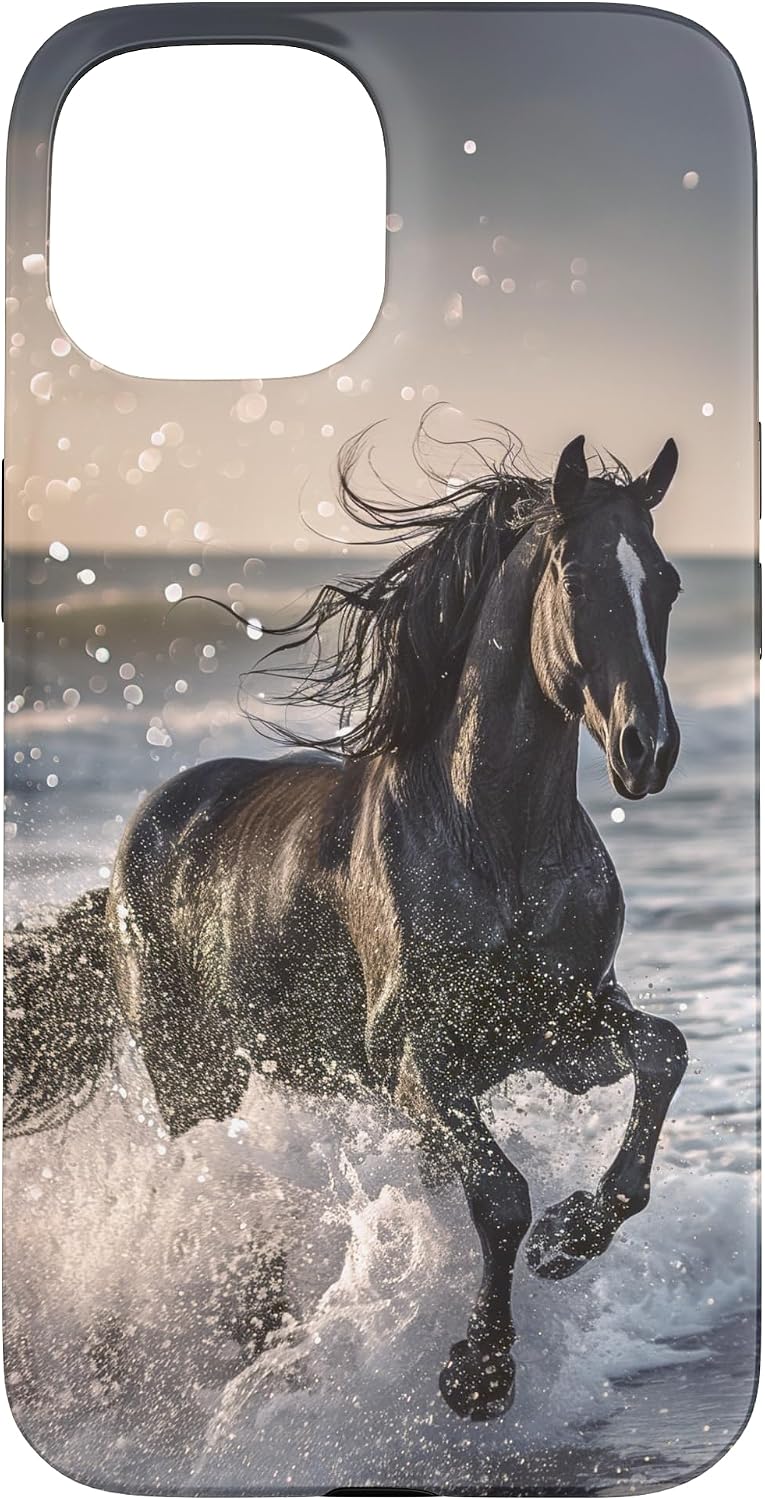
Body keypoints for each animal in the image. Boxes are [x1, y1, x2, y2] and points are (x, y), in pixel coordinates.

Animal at [4, 427, 688, 1422]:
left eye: (666, 582)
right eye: (578, 578)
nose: (651, 749)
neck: (497, 844)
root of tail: (130, 858)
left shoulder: (561, 1032)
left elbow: (663, 1052)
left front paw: (569, 1240)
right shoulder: (412, 1055)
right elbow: (499, 1194)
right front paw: (477, 1374)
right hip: (191, 1073)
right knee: (217, 1191)